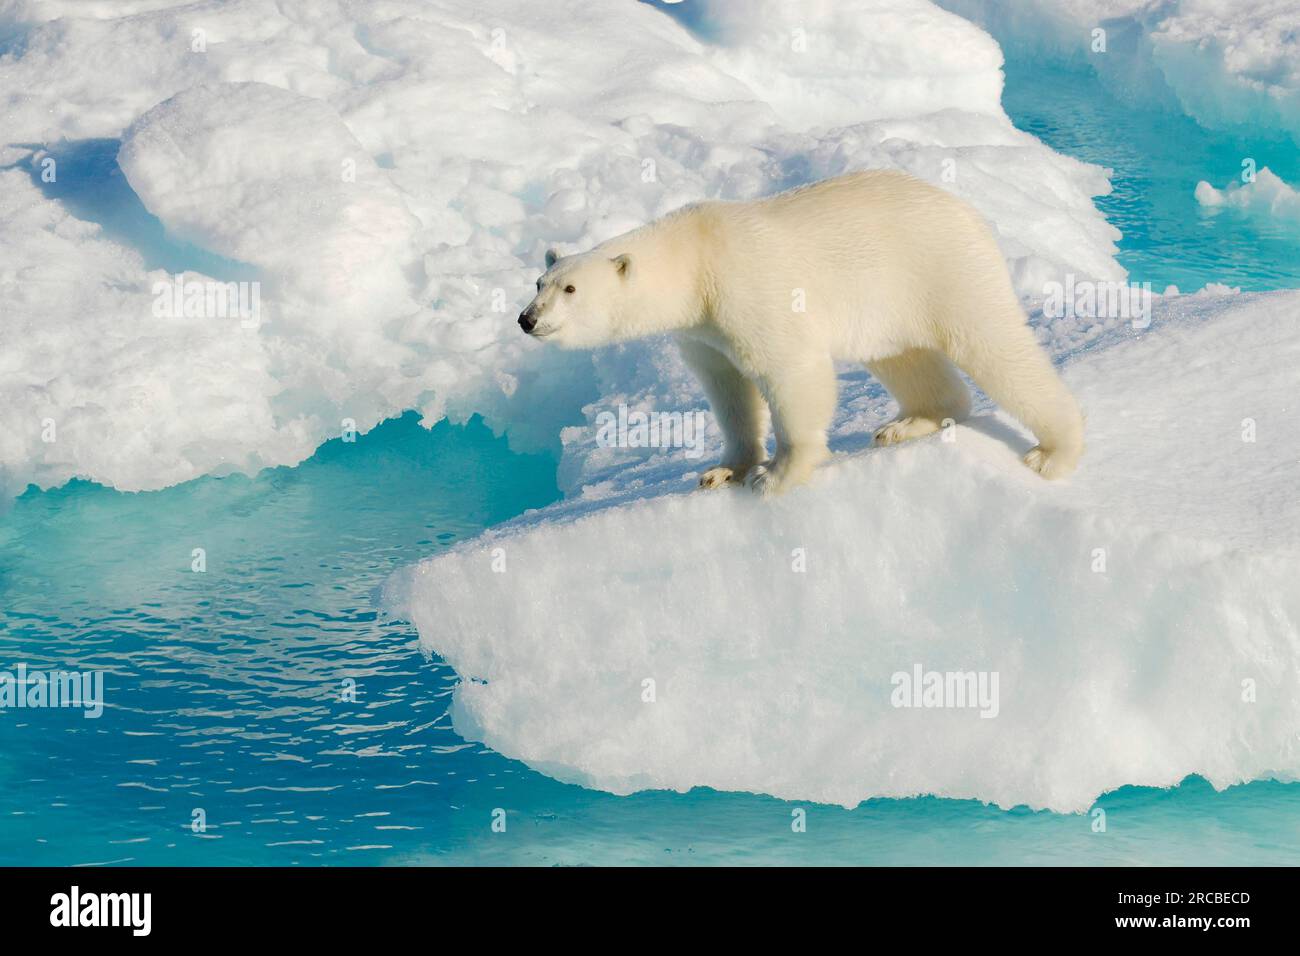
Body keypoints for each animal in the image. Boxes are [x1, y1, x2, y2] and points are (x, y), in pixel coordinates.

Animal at [517, 171, 1086, 496]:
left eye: (570, 288)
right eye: (540, 282)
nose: (527, 319)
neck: (696, 258)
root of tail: (968, 211)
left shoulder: (747, 289)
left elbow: (791, 371)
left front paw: (776, 474)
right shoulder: (702, 330)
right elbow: (728, 390)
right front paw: (721, 472)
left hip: (941, 267)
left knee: (994, 346)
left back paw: (1054, 452)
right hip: (889, 299)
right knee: (904, 358)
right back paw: (907, 423)